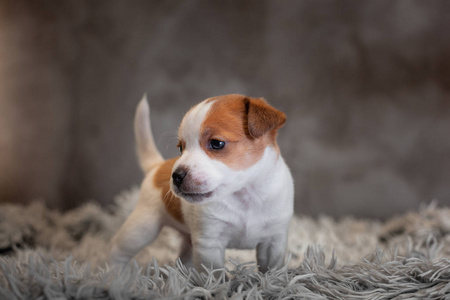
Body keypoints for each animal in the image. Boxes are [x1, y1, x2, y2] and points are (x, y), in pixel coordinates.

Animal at [110, 95, 294, 274]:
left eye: (217, 143)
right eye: (180, 148)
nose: (176, 176)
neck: (244, 195)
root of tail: (157, 166)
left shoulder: (274, 242)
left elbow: (272, 270)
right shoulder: (209, 244)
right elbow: (215, 275)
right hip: (142, 228)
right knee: (117, 251)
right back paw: (114, 276)